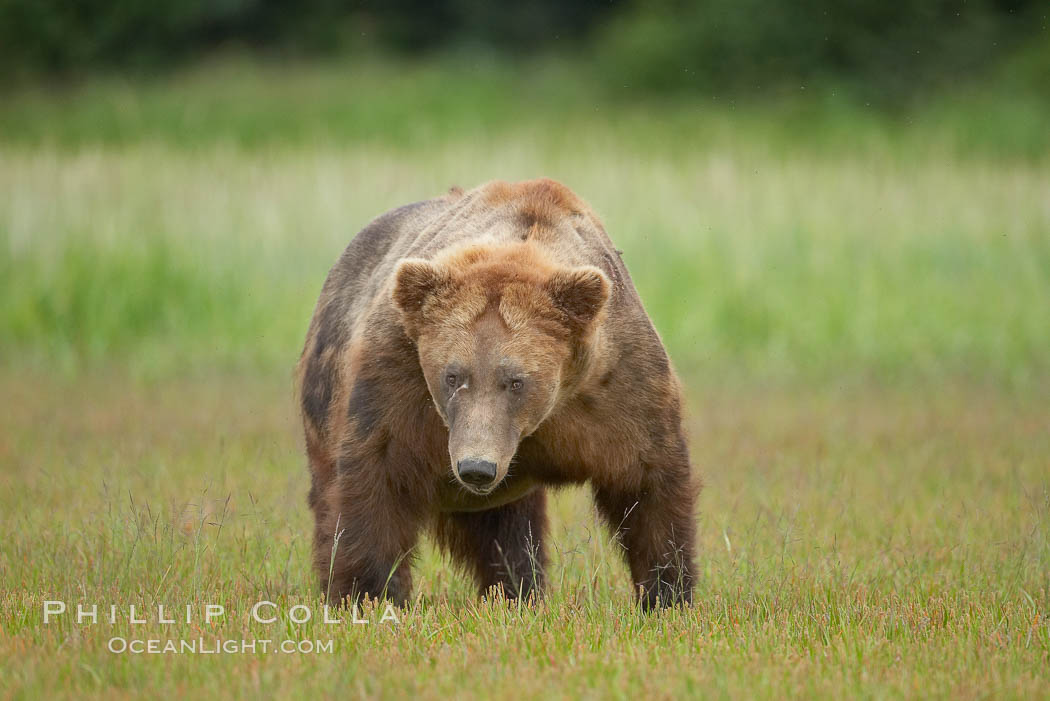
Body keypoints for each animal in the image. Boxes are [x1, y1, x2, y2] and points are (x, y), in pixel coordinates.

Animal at [298, 179, 697, 608]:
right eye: (453, 376)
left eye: (516, 381)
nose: (476, 467)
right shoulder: (397, 376)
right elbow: (378, 479)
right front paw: (370, 594)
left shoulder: (616, 386)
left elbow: (648, 482)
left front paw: (668, 595)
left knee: (509, 530)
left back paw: (517, 591)